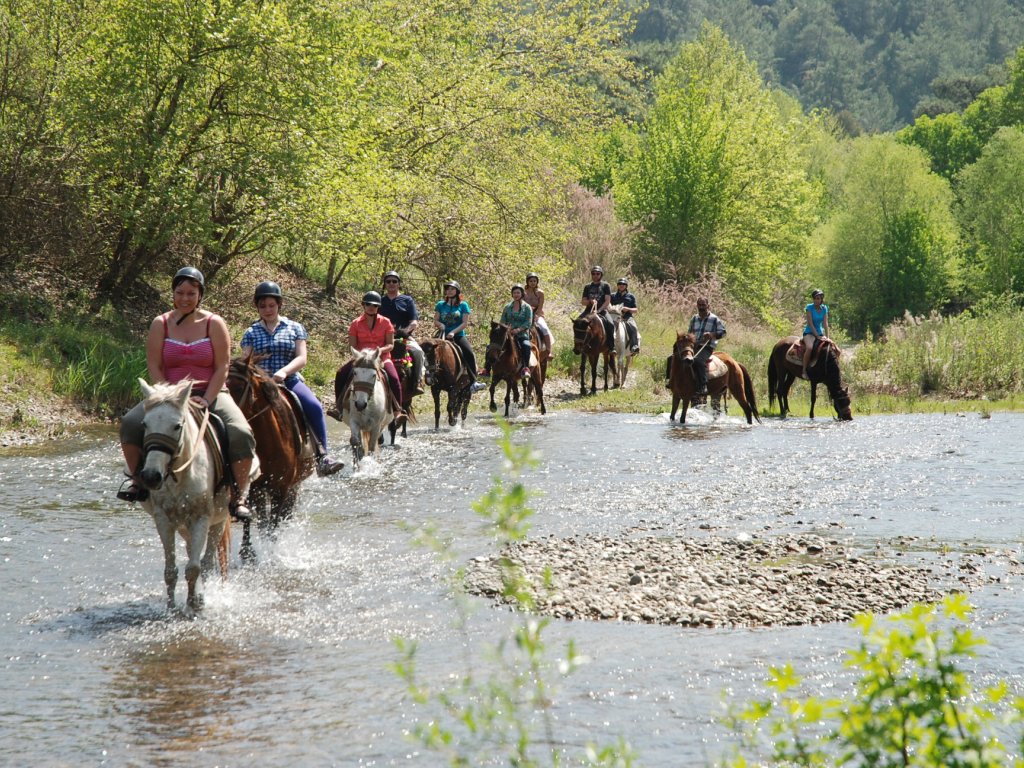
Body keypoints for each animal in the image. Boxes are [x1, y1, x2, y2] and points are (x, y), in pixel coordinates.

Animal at [136, 378, 230, 614]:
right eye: (145, 424)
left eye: (177, 426)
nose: (151, 476)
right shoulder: (163, 520)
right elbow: (170, 571)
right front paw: (171, 608)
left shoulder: (202, 518)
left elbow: (194, 568)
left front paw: (192, 605)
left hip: (218, 520)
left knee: (207, 562)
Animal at [228, 352, 315, 557]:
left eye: (239, 387)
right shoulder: (254, 488)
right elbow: (256, 521)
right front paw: (247, 553)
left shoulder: (281, 488)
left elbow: (273, 525)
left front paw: (272, 552)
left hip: (294, 486)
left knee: (284, 517)